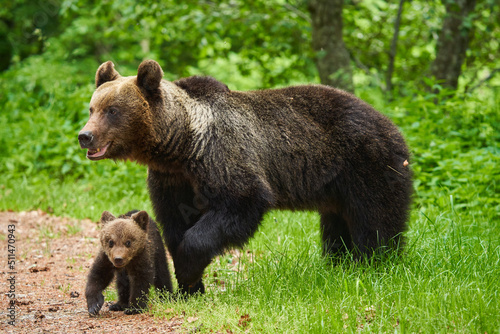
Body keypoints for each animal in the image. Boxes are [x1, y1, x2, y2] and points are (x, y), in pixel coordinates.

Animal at [78, 60, 412, 294]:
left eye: (113, 110)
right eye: (92, 107)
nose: (85, 136)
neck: (180, 144)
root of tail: (393, 125)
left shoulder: (221, 155)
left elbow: (240, 201)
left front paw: (187, 269)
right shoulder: (171, 179)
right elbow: (174, 221)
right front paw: (190, 287)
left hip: (367, 164)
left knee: (376, 221)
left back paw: (375, 265)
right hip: (336, 188)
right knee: (336, 226)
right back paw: (337, 264)